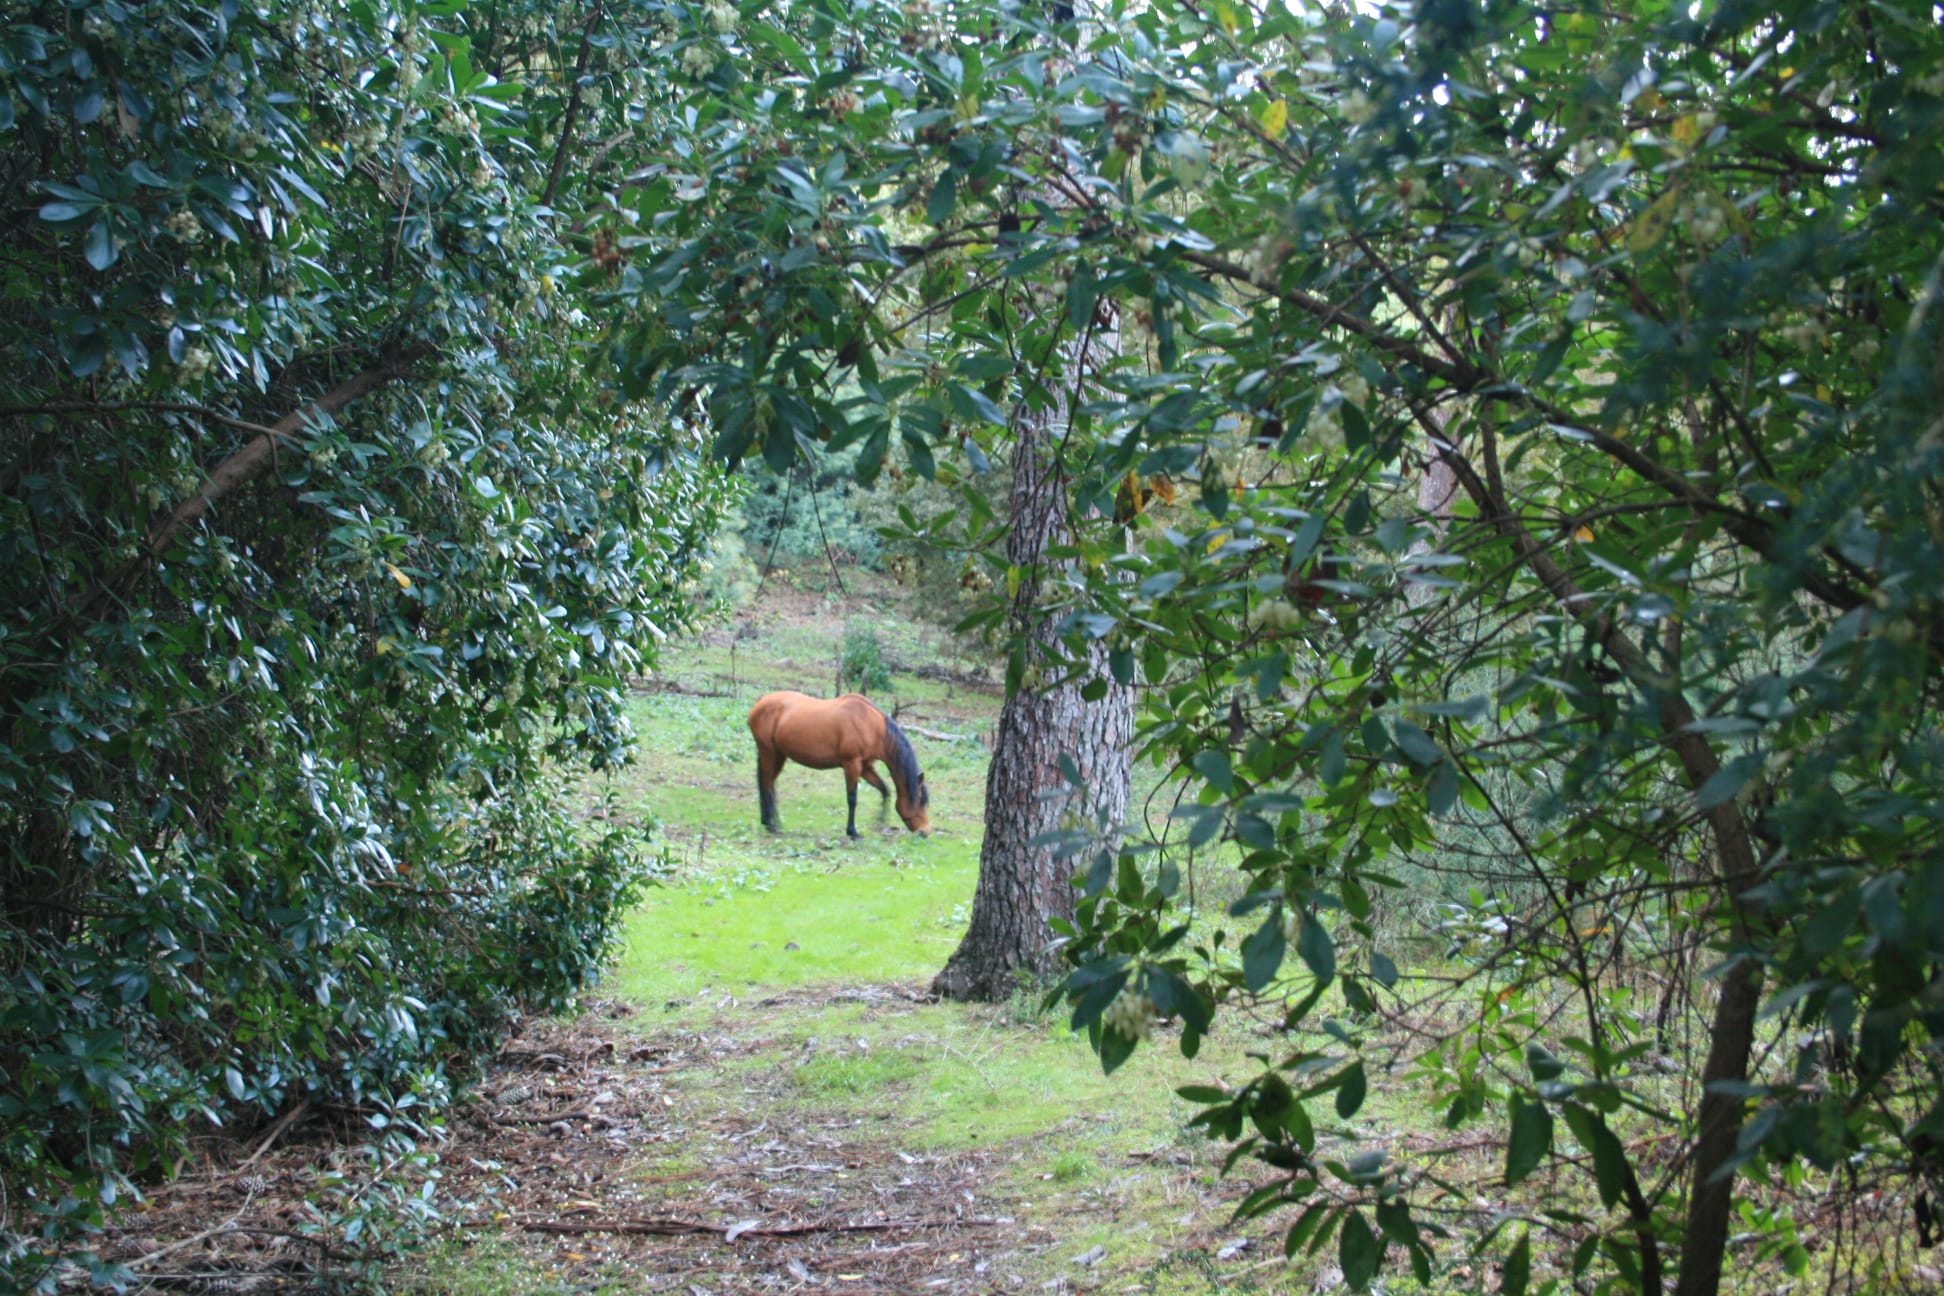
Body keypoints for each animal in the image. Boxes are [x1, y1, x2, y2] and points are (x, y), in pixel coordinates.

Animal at [746, 691, 931, 839]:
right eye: (921, 801)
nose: (925, 832)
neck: (871, 726)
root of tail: (759, 703)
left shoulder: (865, 768)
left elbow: (884, 790)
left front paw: (879, 822)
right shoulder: (852, 765)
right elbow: (852, 799)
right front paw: (852, 832)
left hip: (779, 755)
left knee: (769, 784)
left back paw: (772, 823)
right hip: (769, 752)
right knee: (766, 784)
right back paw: (771, 825)